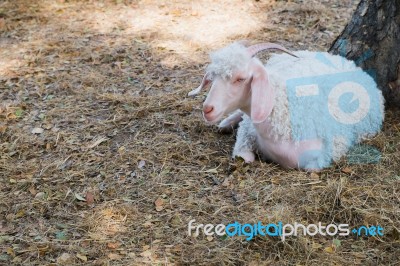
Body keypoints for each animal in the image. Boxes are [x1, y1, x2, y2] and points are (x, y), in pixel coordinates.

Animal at [189, 41, 386, 170]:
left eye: (240, 79)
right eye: (212, 78)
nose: (208, 109)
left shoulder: (329, 151)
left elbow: (312, 167)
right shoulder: (248, 132)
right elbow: (244, 155)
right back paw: (225, 123)